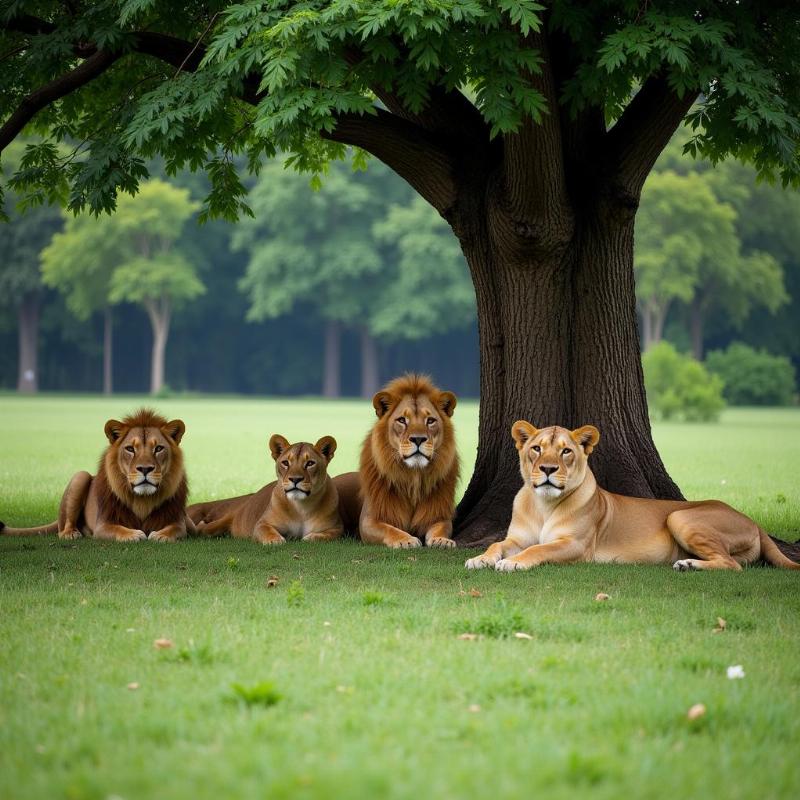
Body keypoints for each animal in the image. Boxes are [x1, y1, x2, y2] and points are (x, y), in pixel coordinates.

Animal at [0, 406, 191, 544]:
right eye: (130, 449)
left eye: (158, 448)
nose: (145, 469)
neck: (142, 501)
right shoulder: (103, 524)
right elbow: (118, 529)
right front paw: (134, 535)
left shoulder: (178, 521)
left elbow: (175, 529)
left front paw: (161, 535)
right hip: (81, 476)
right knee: (63, 527)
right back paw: (71, 533)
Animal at [334, 376, 460, 552]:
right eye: (402, 420)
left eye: (430, 421)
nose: (418, 439)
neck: (413, 477)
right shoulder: (368, 519)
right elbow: (389, 529)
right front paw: (406, 540)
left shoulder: (438, 514)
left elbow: (440, 527)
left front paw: (441, 540)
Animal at [466, 422, 796, 572]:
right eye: (536, 448)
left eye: (566, 451)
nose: (548, 469)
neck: (543, 505)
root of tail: (752, 521)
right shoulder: (516, 538)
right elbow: (496, 544)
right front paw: (480, 559)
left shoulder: (576, 546)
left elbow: (539, 549)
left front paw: (513, 563)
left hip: (680, 516)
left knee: (733, 564)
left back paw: (690, 565)